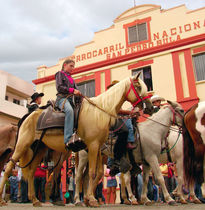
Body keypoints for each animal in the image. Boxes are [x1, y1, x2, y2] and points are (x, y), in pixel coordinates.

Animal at [0, 74, 153, 207]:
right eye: (138, 86)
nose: (149, 107)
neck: (100, 112)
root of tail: (28, 116)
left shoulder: (98, 148)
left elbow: (97, 173)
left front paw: (89, 199)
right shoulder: (92, 145)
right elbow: (91, 173)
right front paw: (91, 199)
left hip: (39, 149)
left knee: (31, 172)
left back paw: (35, 200)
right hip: (22, 145)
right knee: (8, 168)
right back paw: (4, 200)